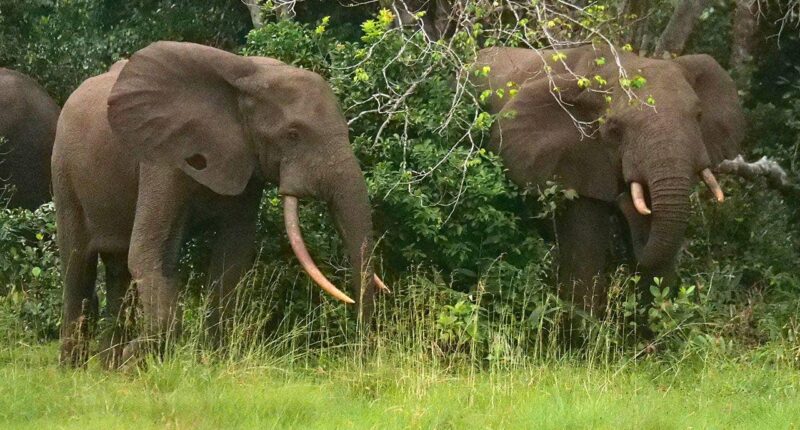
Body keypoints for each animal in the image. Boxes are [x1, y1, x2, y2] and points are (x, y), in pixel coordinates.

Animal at [53, 42, 387, 367]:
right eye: (292, 134)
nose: (362, 358)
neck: (248, 79)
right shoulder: (161, 159)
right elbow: (148, 252)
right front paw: (135, 357)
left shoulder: (246, 163)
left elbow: (233, 255)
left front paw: (212, 362)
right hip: (63, 172)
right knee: (77, 264)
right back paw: (74, 368)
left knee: (118, 269)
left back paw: (106, 369)